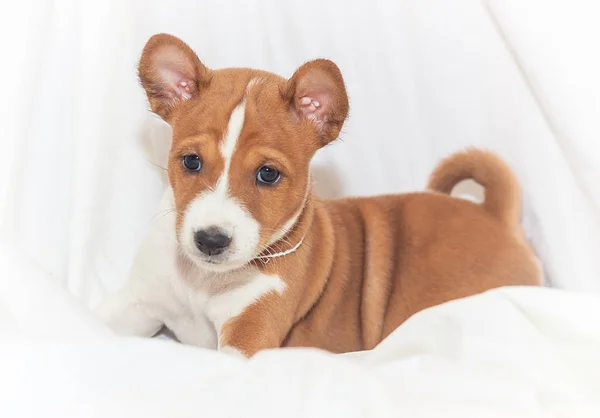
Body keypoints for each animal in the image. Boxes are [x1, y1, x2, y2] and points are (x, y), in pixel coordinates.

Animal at [96, 34, 540, 358]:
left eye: (268, 174)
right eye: (191, 162)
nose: (210, 240)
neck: (203, 280)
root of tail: (494, 214)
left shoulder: (250, 335)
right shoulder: (138, 304)